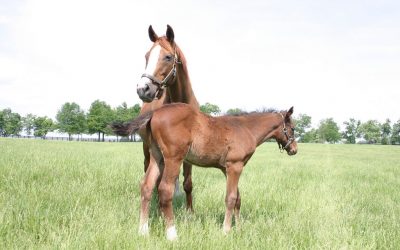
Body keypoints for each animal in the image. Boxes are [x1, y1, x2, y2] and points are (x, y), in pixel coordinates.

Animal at [112, 102, 296, 240]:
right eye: (293, 128)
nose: (294, 149)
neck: (246, 128)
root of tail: (155, 112)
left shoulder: (227, 169)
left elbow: (238, 199)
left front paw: (239, 228)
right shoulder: (235, 166)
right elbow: (231, 198)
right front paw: (226, 231)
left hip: (157, 157)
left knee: (147, 186)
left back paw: (143, 231)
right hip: (173, 158)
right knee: (164, 189)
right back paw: (172, 235)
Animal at [138, 24, 200, 211]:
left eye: (168, 57)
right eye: (147, 56)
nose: (142, 89)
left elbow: (188, 183)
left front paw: (190, 211)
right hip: (148, 148)